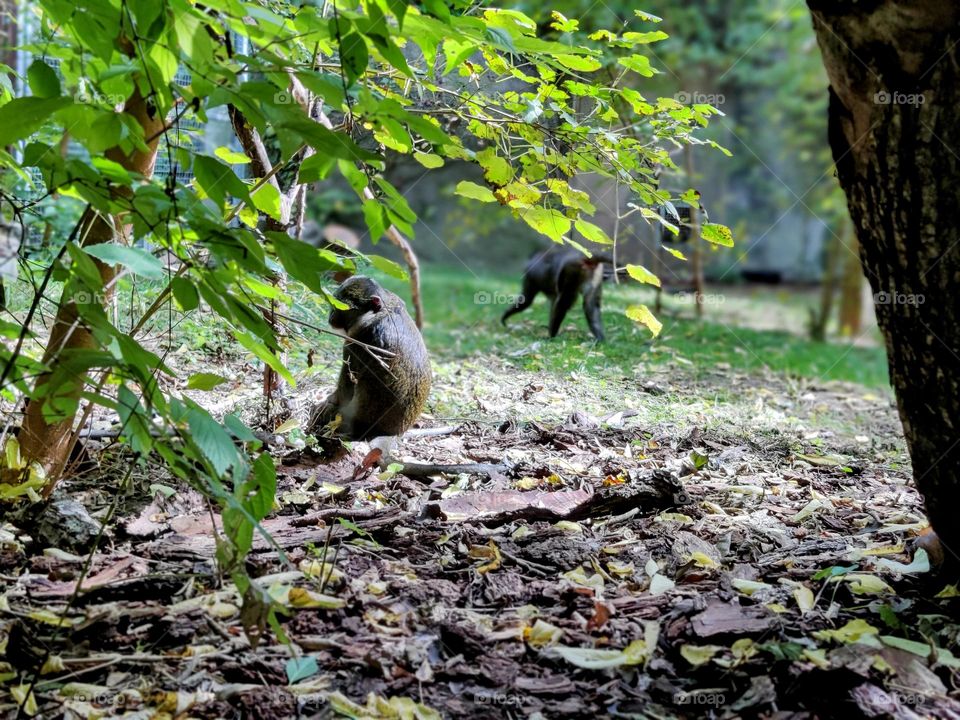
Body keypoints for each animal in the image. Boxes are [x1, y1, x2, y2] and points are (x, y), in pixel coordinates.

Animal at [309, 276, 431, 441]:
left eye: (342, 308)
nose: (331, 317)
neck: (382, 311)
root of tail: (392, 432)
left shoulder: (357, 342)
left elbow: (347, 387)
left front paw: (328, 402)